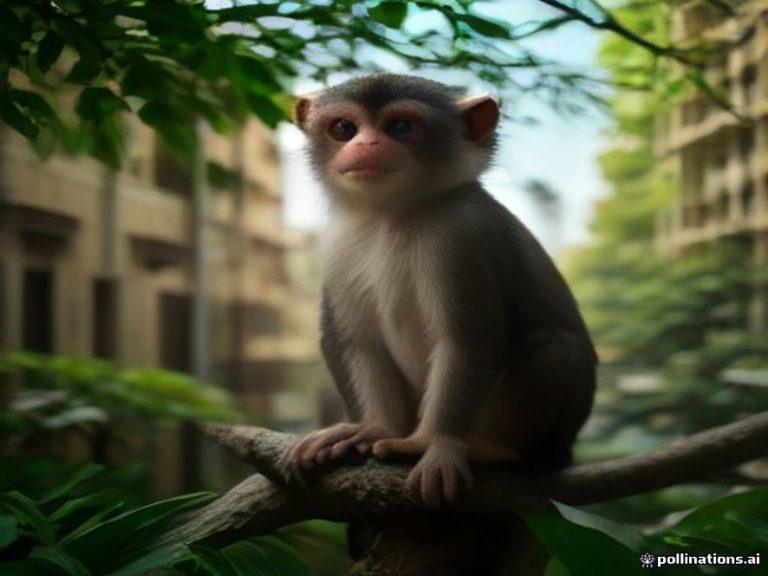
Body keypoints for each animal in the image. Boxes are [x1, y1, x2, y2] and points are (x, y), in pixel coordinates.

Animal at [282, 74, 597, 508]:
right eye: (344, 128)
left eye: (400, 126)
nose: (365, 145)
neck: (394, 216)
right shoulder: (340, 243)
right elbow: (354, 340)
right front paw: (373, 428)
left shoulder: (462, 236)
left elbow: (468, 339)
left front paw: (436, 444)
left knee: (557, 349)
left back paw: (502, 451)